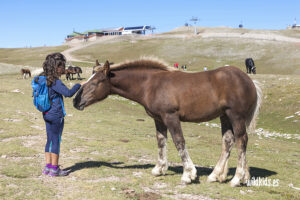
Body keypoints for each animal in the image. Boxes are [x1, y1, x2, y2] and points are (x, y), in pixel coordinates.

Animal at [73, 58, 262, 187]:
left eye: (96, 82)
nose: (76, 101)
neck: (151, 85)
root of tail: (249, 80)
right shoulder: (158, 118)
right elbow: (161, 141)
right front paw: (159, 169)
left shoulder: (170, 117)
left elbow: (179, 142)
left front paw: (188, 174)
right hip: (225, 117)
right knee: (228, 141)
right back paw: (216, 175)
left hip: (235, 116)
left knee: (241, 141)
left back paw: (237, 178)